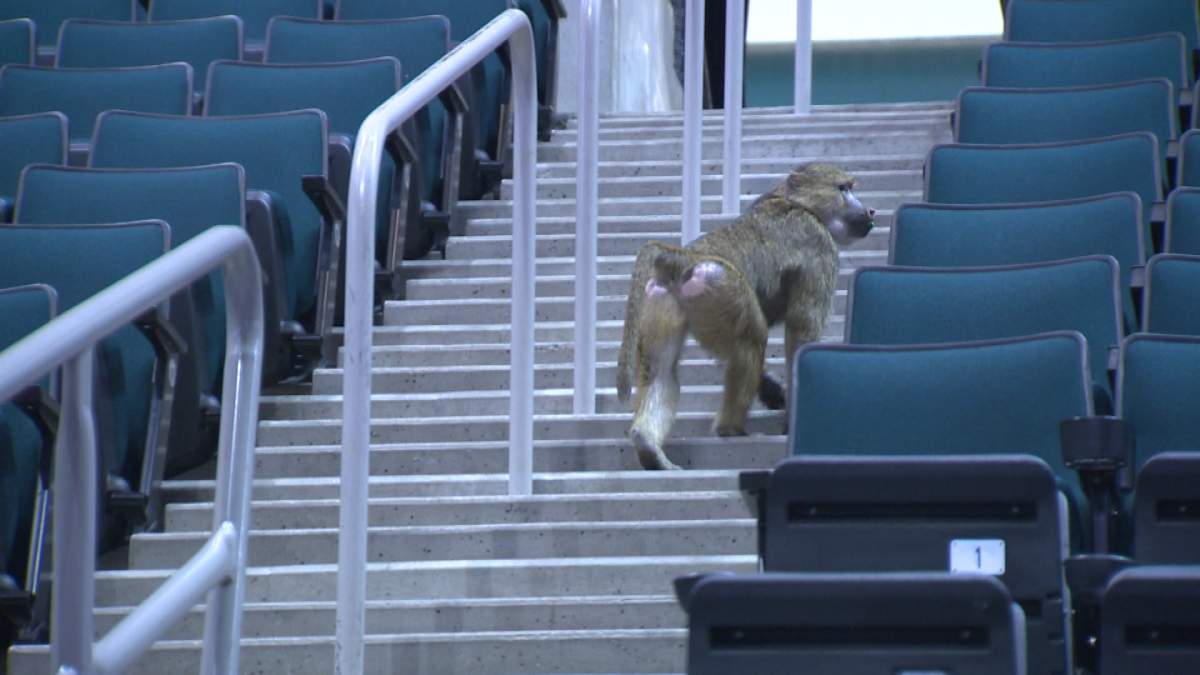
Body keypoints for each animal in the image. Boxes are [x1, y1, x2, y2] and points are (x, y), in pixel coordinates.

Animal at [615, 164, 876, 470]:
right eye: (843, 189)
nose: (869, 211)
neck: (797, 203)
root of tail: (686, 256)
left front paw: (774, 393)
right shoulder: (819, 246)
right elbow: (802, 331)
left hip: (661, 300)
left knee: (661, 371)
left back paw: (647, 445)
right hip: (723, 286)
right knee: (750, 339)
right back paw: (729, 429)